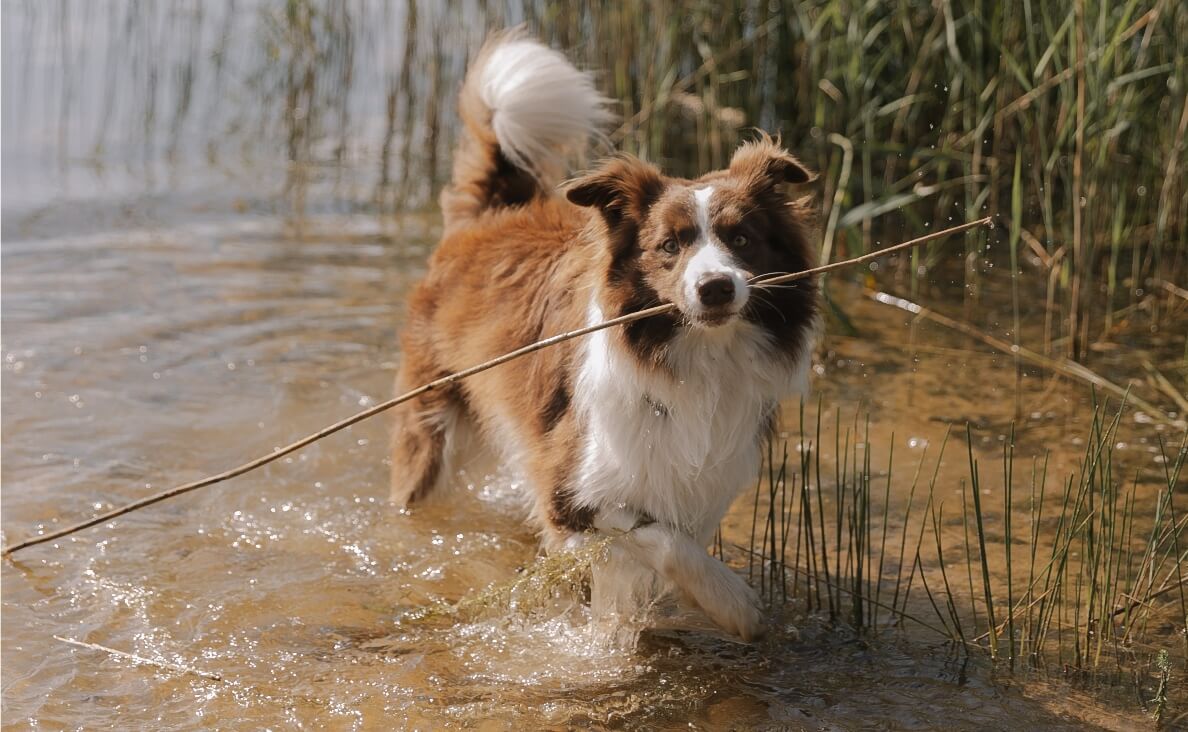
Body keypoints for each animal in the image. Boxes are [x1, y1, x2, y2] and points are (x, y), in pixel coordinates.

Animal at [389, 32, 817, 641]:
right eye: (670, 245)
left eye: (742, 238)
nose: (714, 289)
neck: (696, 359)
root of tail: (487, 217)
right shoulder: (568, 487)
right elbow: (652, 535)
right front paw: (734, 603)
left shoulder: (704, 480)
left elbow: (672, 542)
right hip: (431, 421)